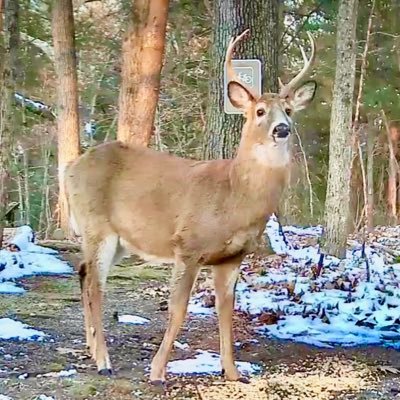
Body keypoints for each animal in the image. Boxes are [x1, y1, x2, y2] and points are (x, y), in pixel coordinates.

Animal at [65, 29, 316, 386]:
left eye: (290, 110)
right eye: (260, 111)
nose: (282, 129)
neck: (234, 195)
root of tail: (70, 167)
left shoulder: (231, 257)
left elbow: (226, 311)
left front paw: (233, 372)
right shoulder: (188, 245)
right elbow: (178, 308)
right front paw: (157, 371)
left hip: (120, 239)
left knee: (83, 272)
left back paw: (91, 347)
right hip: (97, 225)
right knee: (96, 285)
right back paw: (103, 361)